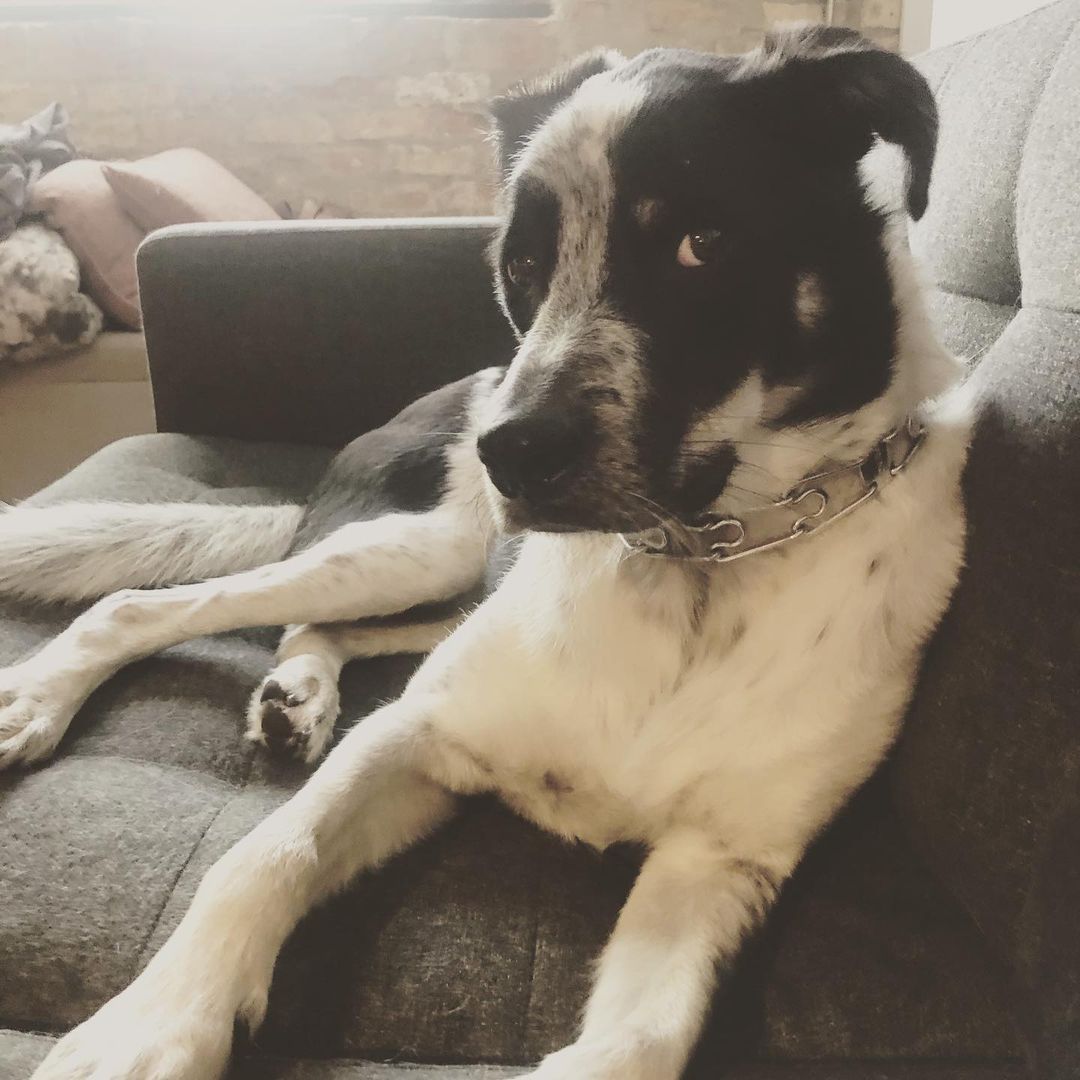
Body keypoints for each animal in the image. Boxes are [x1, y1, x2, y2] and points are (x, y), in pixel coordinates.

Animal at [4, 27, 971, 1080]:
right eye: (524, 264)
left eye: (702, 243)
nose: (506, 450)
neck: (697, 561)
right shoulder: (418, 734)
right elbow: (263, 856)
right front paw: (151, 1025)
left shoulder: (721, 859)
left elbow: (640, 1038)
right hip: (416, 549)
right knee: (147, 606)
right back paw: (40, 701)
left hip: (443, 584)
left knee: (316, 630)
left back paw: (298, 697)